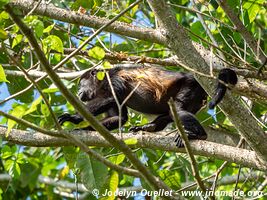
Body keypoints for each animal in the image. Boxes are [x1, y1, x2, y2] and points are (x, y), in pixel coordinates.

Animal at [58, 67, 239, 147]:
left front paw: (73, 118)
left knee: (179, 109)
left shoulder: (113, 80)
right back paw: (148, 127)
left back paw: (199, 135)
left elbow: (108, 98)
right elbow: (120, 117)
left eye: (81, 83)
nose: (78, 91)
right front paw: (83, 129)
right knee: (171, 113)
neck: (102, 81)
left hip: (190, 85)